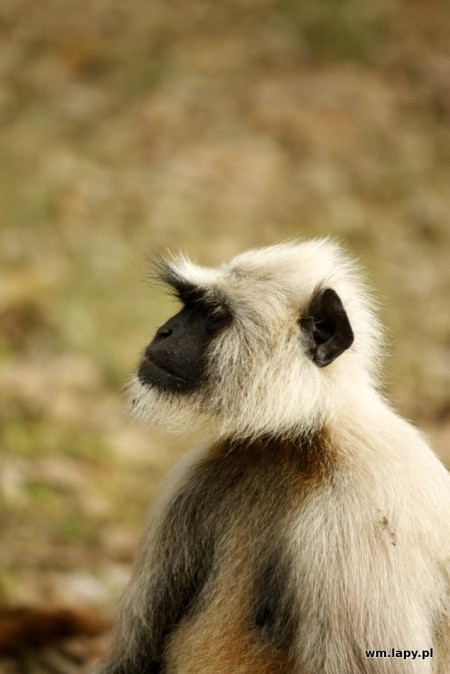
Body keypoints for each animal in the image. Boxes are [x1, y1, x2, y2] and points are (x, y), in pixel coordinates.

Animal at [95, 242, 450, 672]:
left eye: (213, 315)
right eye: (187, 305)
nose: (165, 331)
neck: (299, 440)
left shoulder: (363, 527)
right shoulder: (194, 479)